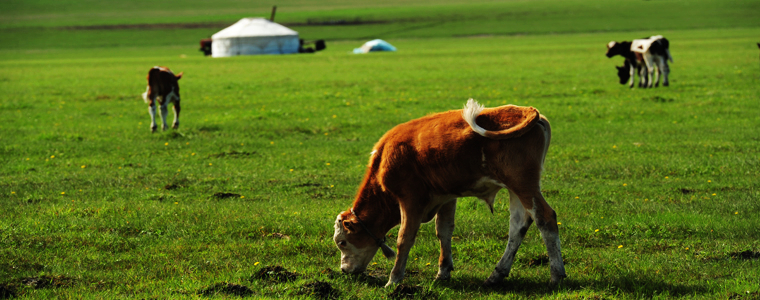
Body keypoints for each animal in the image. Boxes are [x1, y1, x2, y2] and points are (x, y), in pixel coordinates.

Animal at [332, 99, 564, 288]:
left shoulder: (410, 199)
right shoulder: (445, 197)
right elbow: (443, 231)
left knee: (545, 218)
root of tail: (526, 110)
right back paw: (496, 275)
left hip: (523, 184)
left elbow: (404, 238)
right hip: (516, 188)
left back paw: (557, 275)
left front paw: (394, 279)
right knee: (518, 225)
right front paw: (443, 272)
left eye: (342, 242)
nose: (343, 270)